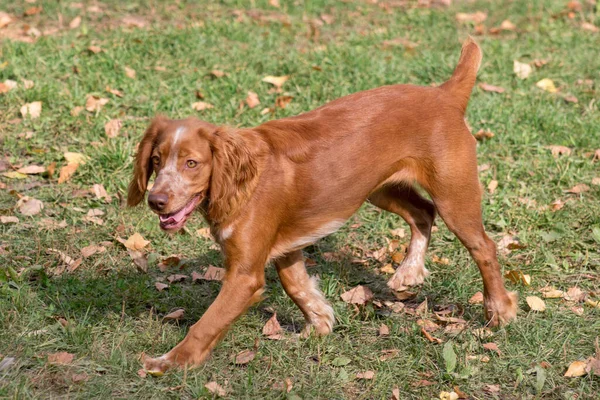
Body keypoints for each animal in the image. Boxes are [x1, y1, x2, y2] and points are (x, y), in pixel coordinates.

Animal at [130, 38, 516, 376]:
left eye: (191, 163)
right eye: (156, 160)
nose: (156, 201)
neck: (240, 182)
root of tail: (444, 94)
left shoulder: (244, 275)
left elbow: (207, 323)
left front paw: (169, 363)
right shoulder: (287, 247)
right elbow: (297, 285)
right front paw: (319, 324)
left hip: (455, 197)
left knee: (484, 247)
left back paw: (499, 311)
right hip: (378, 189)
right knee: (423, 212)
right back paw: (408, 272)